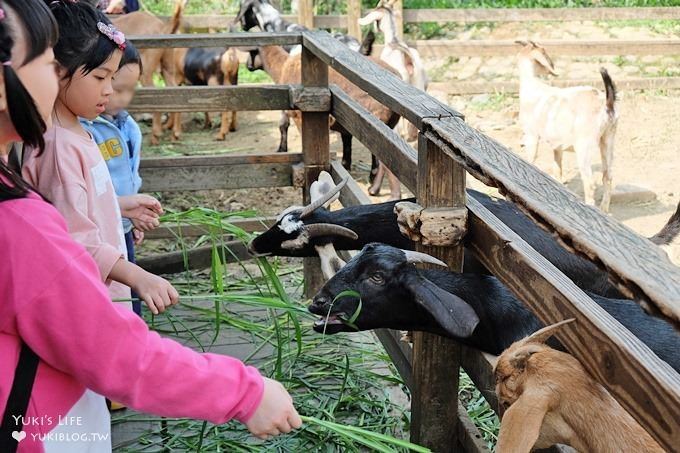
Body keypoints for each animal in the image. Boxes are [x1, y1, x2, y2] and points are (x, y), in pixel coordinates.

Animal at [516, 40, 620, 210]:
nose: (552, 68)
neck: (532, 85)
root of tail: (606, 103)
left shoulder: (531, 135)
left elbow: (530, 160)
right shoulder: (557, 145)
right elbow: (557, 169)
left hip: (584, 146)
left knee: (590, 183)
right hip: (608, 139)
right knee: (608, 176)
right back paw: (604, 210)